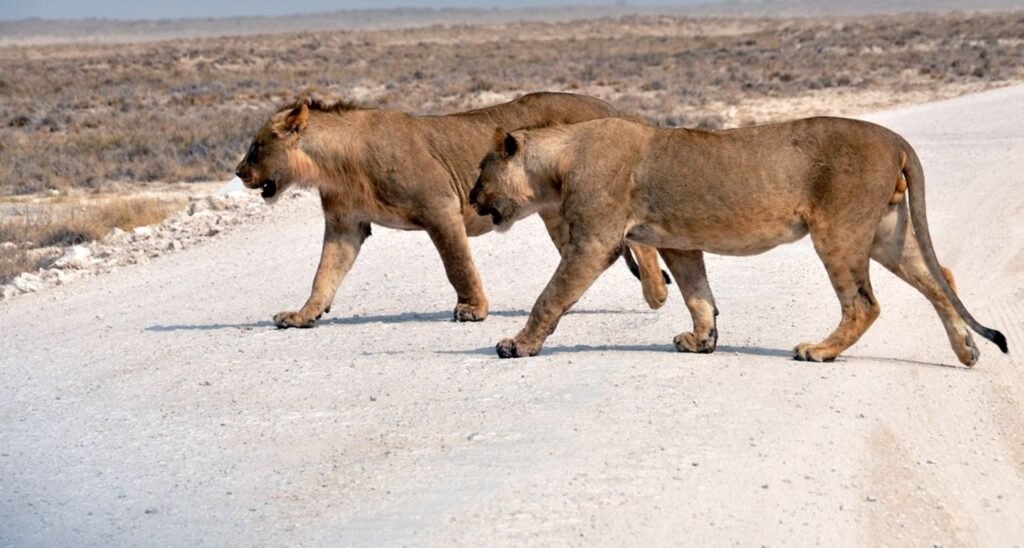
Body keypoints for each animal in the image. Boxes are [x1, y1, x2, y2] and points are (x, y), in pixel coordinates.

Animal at [234, 93, 669, 328]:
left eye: (255, 147)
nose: (238, 172)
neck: (334, 164)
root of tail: (610, 107)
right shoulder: (346, 225)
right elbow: (324, 274)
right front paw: (304, 315)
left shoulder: (439, 207)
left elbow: (457, 264)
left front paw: (472, 308)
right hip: (555, 212)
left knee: (638, 241)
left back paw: (657, 292)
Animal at [469, 116, 1009, 366]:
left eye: (481, 172)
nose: (471, 200)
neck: (557, 160)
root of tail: (894, 137)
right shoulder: (678, 242)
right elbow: (698, 295)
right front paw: (701, 341)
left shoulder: (594, 242)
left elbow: (550, 296)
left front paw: (517, 345)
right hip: (885, 233)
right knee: (941, 281)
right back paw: (966, 350)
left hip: (839, 230)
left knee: (864, 304)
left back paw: (819, 351)